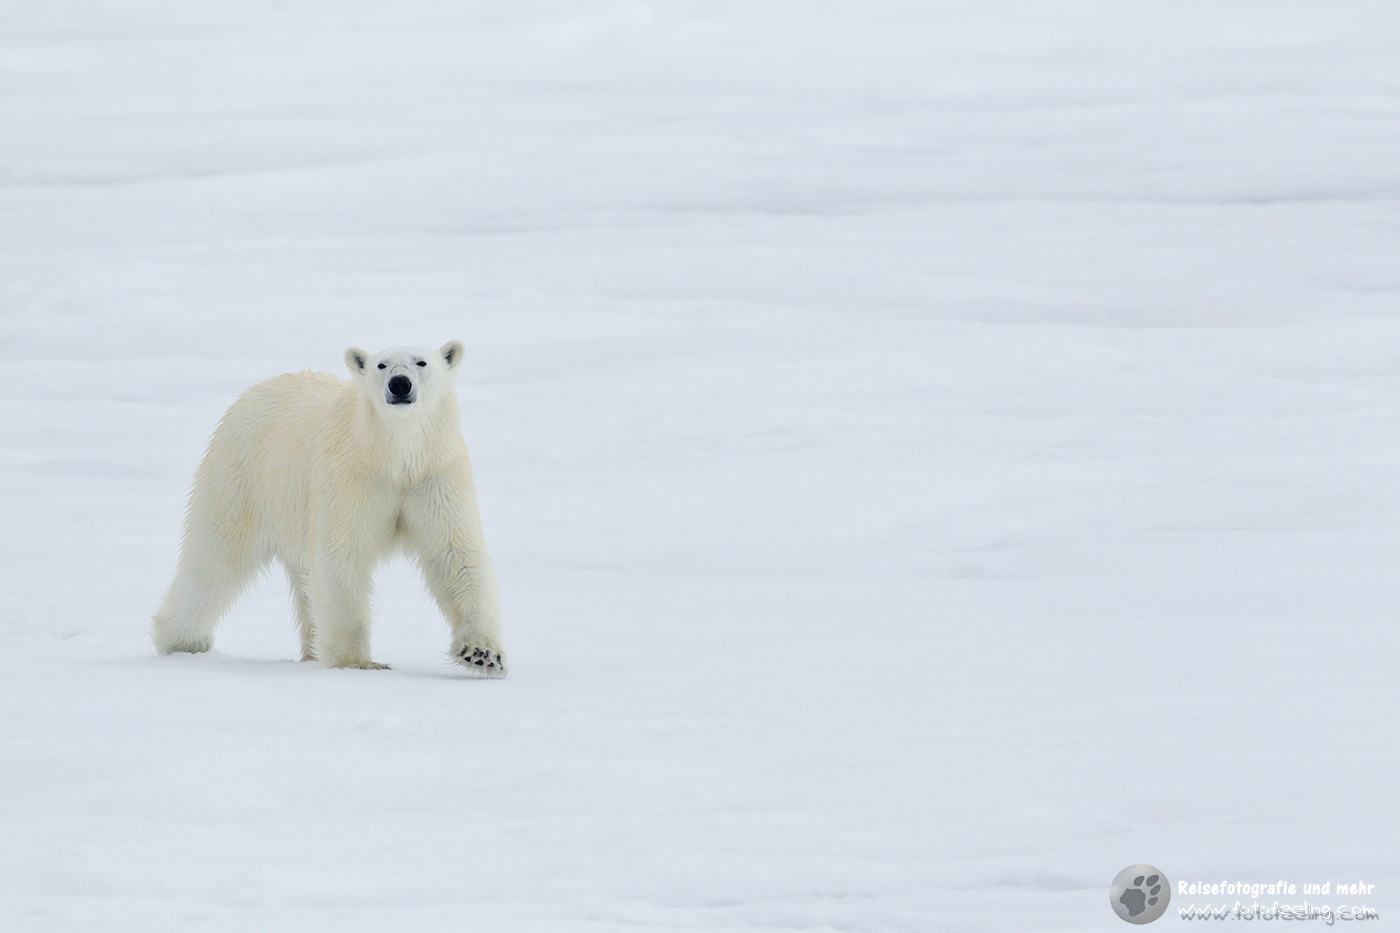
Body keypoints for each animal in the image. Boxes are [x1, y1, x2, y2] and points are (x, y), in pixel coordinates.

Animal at [151, 341, 506, 674]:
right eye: (381, 364)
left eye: (422, 362)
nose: (400, 384)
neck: (392, 456)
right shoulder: (352, 478)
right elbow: (342, 555)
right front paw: (358, 662)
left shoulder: (434, 475)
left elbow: (455, 555)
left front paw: (483, 654)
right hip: (241, 478)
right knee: (214, 559)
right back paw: (183, 641)